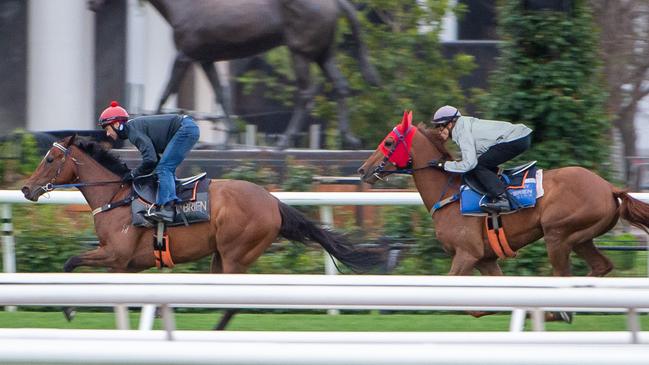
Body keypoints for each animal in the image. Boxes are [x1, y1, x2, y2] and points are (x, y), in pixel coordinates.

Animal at [21, 135, 384, 328]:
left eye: (50, 159)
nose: (26, 188)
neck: (116, 196)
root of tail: (273, 201)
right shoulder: (124, 266)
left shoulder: (115, 255)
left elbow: (69, 262)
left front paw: (69, 309)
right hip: (220, 258)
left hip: (236, 256)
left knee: (233, 304)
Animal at [87, 0, 380, 148]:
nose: (91, 5)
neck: (184, 5)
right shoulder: (205, 60)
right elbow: (222, 95)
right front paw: (224, 141)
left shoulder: (184, 56)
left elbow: (166, 92)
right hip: (322, 54)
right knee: (341, 86)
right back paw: (349, 138)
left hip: (301, 53)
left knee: (307, 92)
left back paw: (284, 143)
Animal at [356, 111, 648, 282]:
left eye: (389, 142)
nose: (363, 170)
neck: (449, 193)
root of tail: (609, 188)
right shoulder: (485, 260)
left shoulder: (466, 254)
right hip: (581, 238)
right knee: (600, 267)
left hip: (558, 235)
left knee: (563, 274)